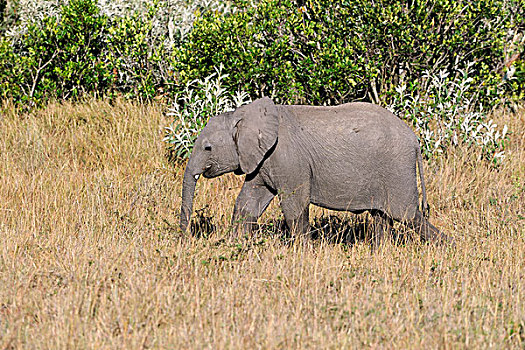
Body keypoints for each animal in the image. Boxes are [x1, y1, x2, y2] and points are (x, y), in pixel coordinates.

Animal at [179, 97, 446, 245]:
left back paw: (447, 247)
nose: (185, 238)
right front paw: (235, 246)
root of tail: (415, 140)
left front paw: (302, 252)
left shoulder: (288, 159)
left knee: (408, 215)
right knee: (382, 217)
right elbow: (247, 204)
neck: (242, 114)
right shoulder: (262, 162)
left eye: (208, 148)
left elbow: (294, 206)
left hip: (397, 168)